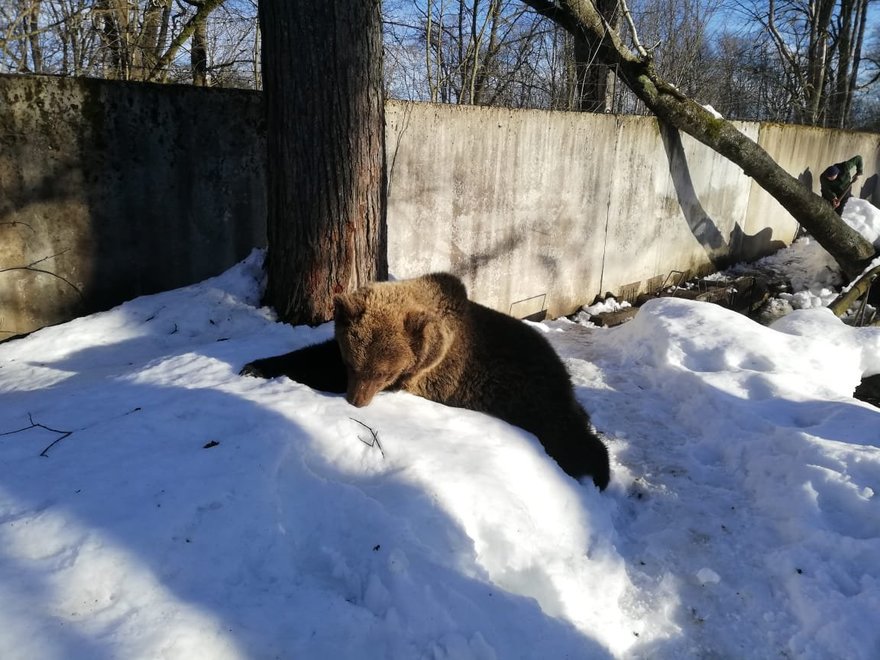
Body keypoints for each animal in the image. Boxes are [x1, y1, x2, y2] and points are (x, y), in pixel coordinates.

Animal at [241, 272, 612, 490]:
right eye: (353, 362)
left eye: (382, 372)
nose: (356, 401)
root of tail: (560, 366)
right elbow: (316, 356)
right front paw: (256, 366)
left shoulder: (427, 374)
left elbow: (321, 365)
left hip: (533, 397)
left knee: (567, 436)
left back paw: (599, 471)